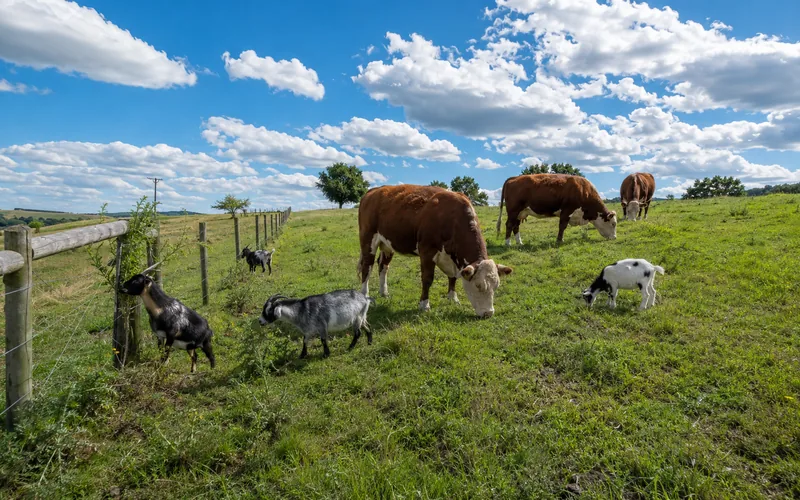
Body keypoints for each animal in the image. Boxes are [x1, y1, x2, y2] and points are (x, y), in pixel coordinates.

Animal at [358, 185, 513, 318]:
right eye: (478, 285)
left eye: (496, 286)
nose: (488, 313)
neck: (452, 218)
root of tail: (374, 190)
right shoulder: (427, 251)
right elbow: (427, 279)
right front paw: (424, 305)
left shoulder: (452, 258)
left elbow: (453, 278)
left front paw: (453, 298)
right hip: (368, 240)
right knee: (367, 267)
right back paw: (365, 295)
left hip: (387, 244)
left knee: (383, 266)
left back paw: (384, 292)